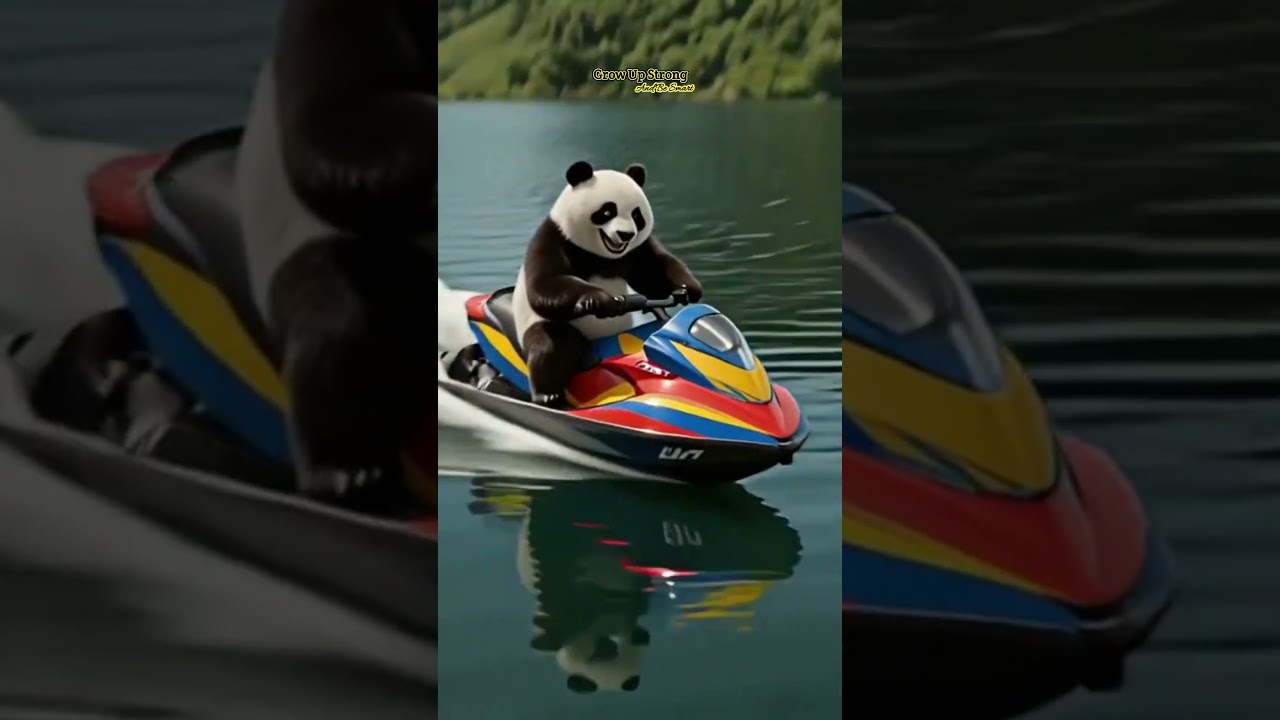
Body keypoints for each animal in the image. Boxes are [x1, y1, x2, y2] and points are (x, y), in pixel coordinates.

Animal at [512, 160, 703, 406]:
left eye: (637, 215)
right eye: (606, 212)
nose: (625, 234)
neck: (602, 256)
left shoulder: (635, 252)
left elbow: (653, 271)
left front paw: (688, 289)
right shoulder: (555, 238)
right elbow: (544, 284)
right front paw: (598, 300)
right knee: (553, 346)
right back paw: (548, 395)